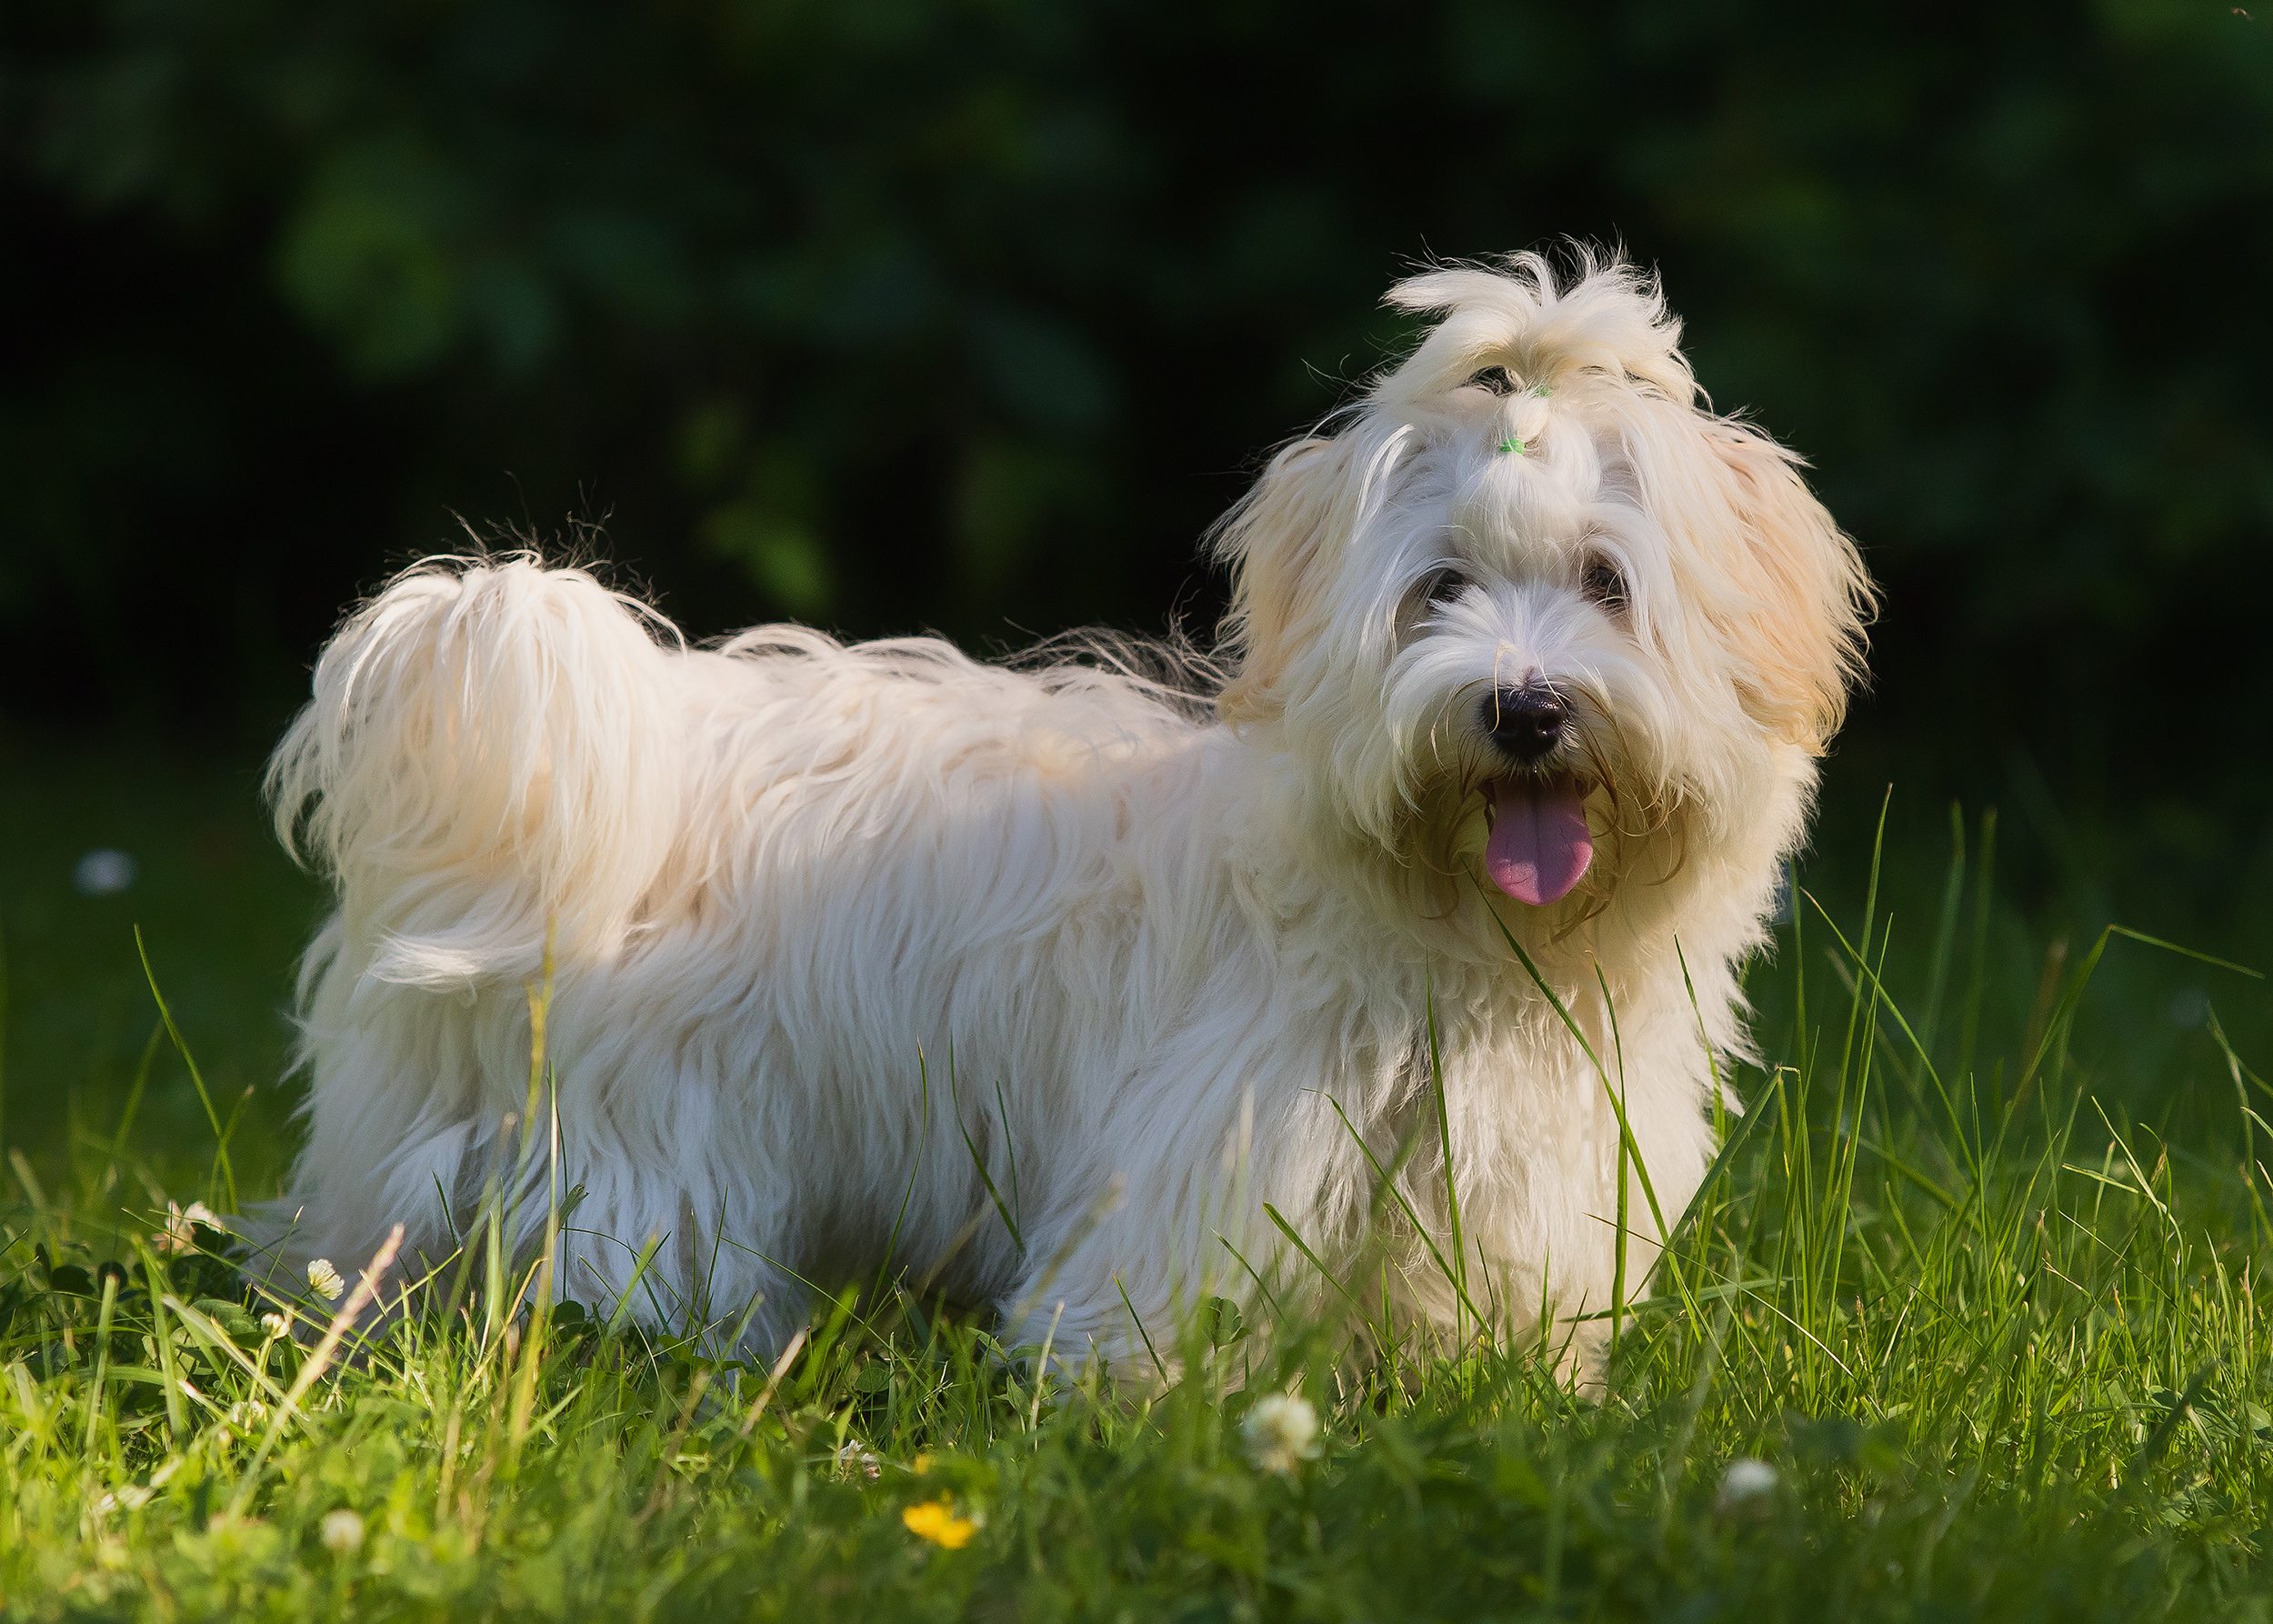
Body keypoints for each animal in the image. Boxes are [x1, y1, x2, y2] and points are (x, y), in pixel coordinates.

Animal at [257, 250, 1873, 1364]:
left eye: (1607, 582)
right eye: (1439, 590)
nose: (1524, 708)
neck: (1451, 931)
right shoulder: (1217, 1146)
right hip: (643, 1129)